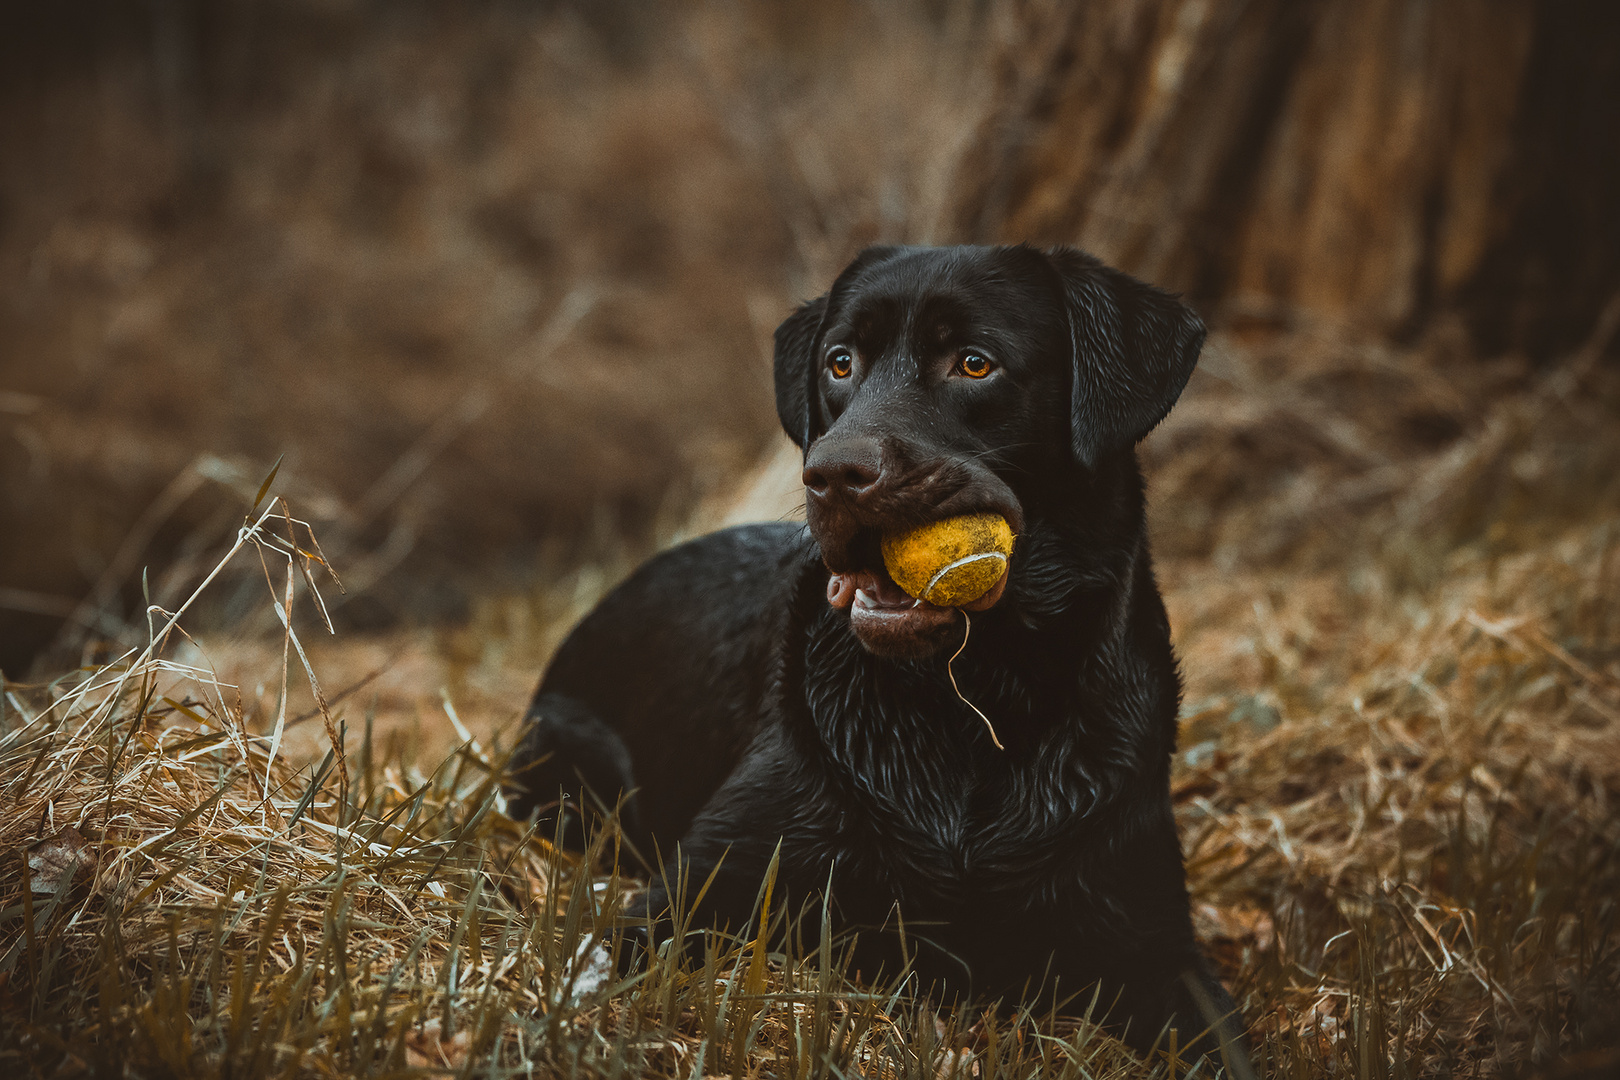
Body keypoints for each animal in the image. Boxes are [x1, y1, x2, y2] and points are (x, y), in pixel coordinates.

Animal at [505, 242, 1237, 1062]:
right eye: (840, 363)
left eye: (974, 363)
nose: (832, 473)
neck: (973, 696)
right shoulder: (696, 888)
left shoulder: (1155, 946)